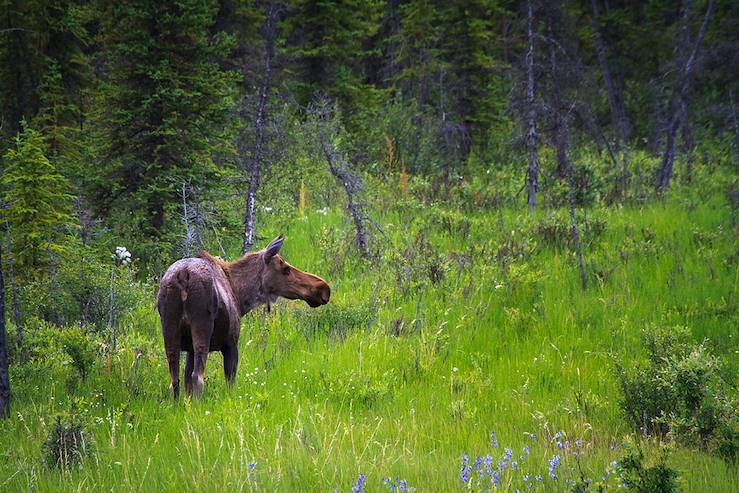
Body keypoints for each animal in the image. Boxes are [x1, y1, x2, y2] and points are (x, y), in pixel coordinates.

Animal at [158, 233, 330, 398]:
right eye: (285, 268)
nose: (323, 288)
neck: (240, 297)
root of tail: (183, 275)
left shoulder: (189, 349)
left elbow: (186, 384)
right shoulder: (231, 342)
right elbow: (230, 383)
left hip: (170, 329)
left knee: (174, 380)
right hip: (202, 328)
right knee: (197, 377)